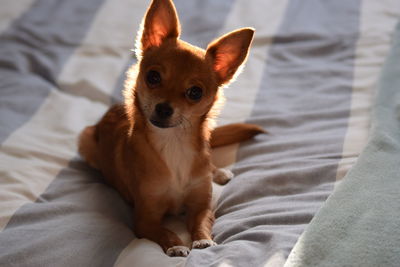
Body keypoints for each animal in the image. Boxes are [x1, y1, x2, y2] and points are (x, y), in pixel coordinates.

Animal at [79, 0, 264, 258]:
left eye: (195, 92)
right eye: (153, 77)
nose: (164, 108)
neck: (173, 141)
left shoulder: (201, 206)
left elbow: (200, 223)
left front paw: (203, 240)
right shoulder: (145, 219)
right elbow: (164, 231)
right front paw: (176, 245)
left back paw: (218, 172)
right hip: (84, 140)